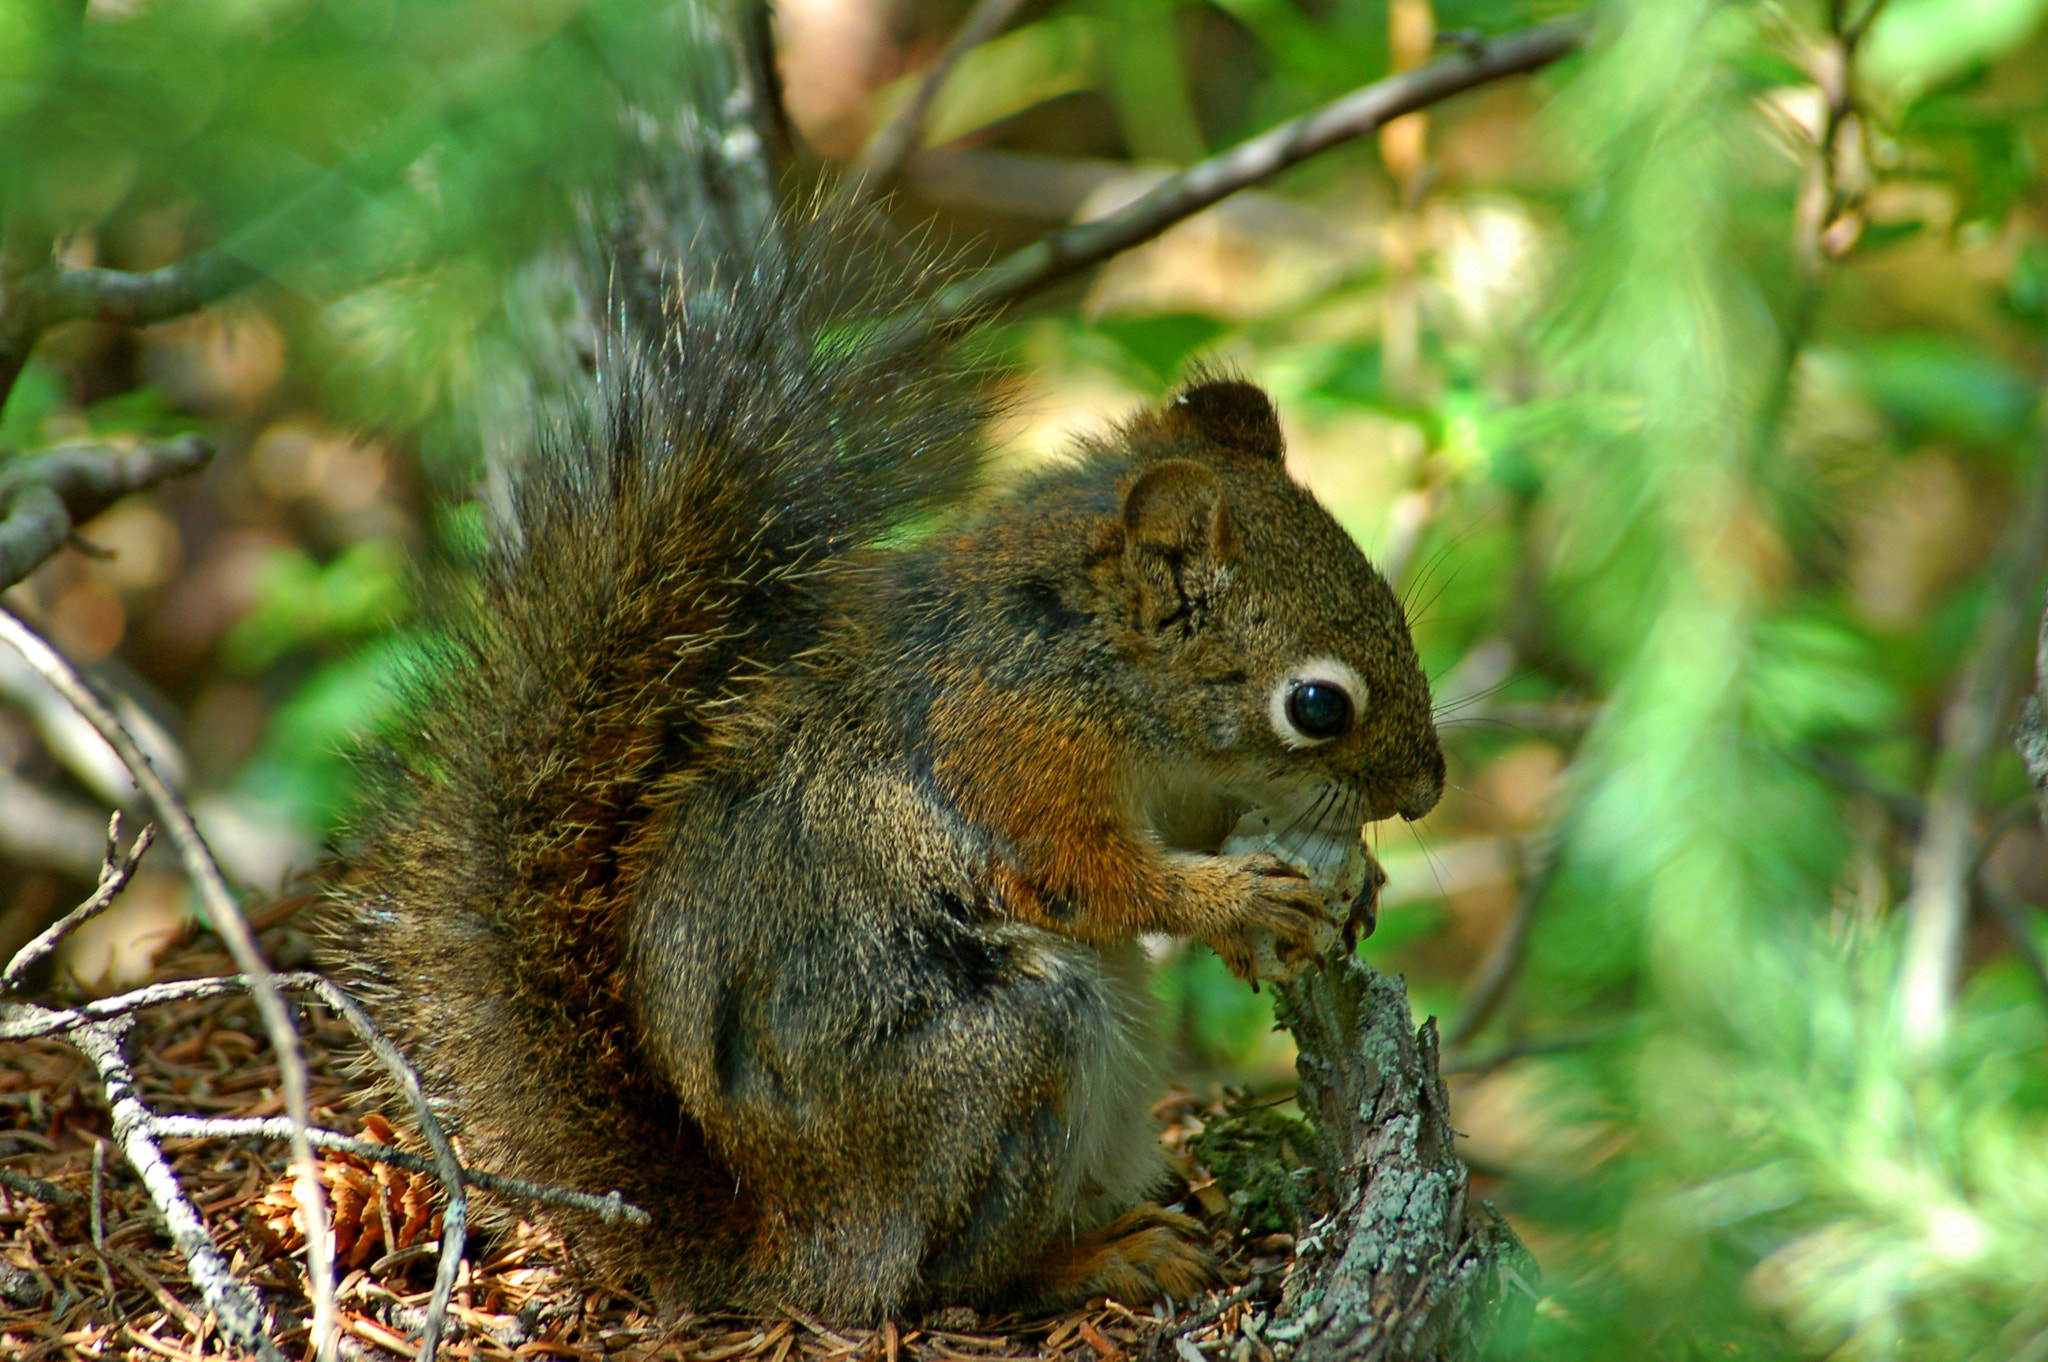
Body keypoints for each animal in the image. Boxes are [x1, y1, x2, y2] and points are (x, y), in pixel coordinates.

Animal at [322, 224, 1446, 1322]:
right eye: (1317, 705)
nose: (1428, 791)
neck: (1098, 662)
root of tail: (782, 1246)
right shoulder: (1008, 745)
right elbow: (1091, 878)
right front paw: (1240, 901)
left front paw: (1353, 882)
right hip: (1004, 1064)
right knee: (948, 1282)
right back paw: (1097, 1258)